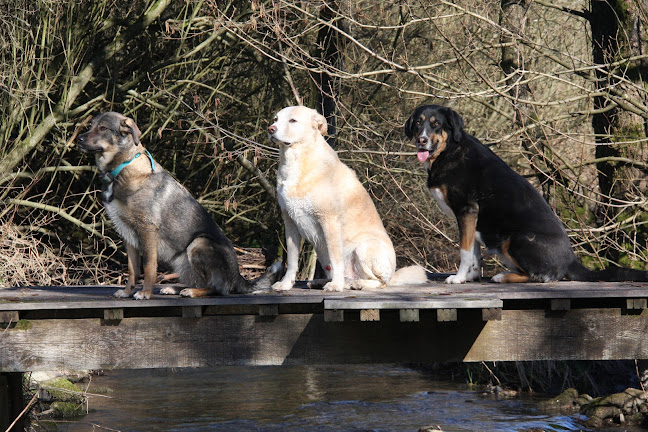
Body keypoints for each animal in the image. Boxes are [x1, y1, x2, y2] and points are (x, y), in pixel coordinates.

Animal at [76, 111, 280, 298]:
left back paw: (192, 292)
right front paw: (127, 292)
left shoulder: (147, 229)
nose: (78, 139)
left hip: (198, 243)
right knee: (200, 281)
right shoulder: (127, 234)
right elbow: (133, 269)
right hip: (181, 262)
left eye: (103, 128)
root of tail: (238, 277)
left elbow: (149, 266)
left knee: (218, 288)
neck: (121, 168)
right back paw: (175, 288)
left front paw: (145, 293)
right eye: (91, 125)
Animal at [270, 106, 430, 292]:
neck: (297, 160)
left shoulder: (329, 221)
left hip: (364, 247)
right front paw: (286, 284)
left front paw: (336, 285)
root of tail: (393, 275)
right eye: (276, 119)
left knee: (379, 281)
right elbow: (292, 260)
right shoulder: (290, 223)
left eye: (293, 120)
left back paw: (356, 283)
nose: (271, 129)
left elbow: (336, 258)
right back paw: (323, 282)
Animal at [404, 104, 648, 284]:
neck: (448, 152)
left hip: (516, 239)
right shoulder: (472, 217)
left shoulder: (467, 210)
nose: (421, 140)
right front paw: (471, 276)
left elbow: (465, 250)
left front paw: (459, 277)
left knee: (543, 277)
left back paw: (502, 277)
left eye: (436, 124)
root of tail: (571, 261)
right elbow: (473, 252)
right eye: (418, 122)